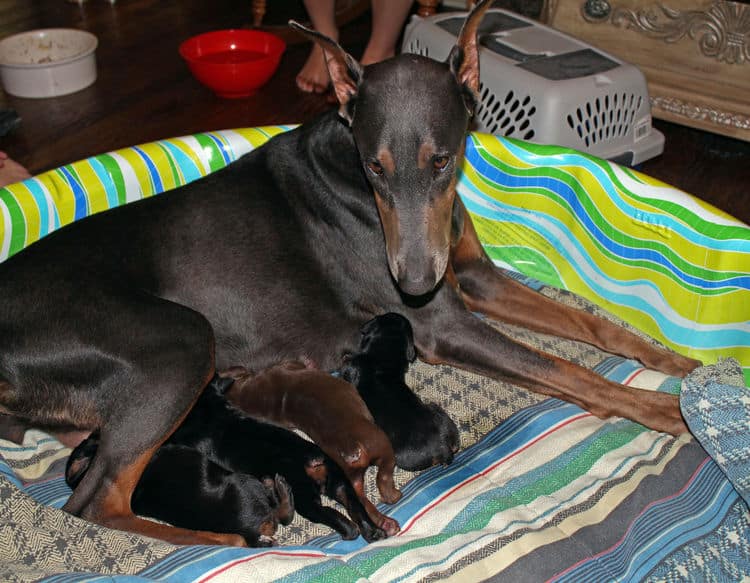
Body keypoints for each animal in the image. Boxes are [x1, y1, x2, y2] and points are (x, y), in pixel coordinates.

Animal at [223, 362, 402, 536]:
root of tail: (349, 447)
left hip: (346, 475)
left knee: (362, 501)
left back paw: (385, 523)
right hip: (382, 445)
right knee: (383, 475)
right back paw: (392, 497)